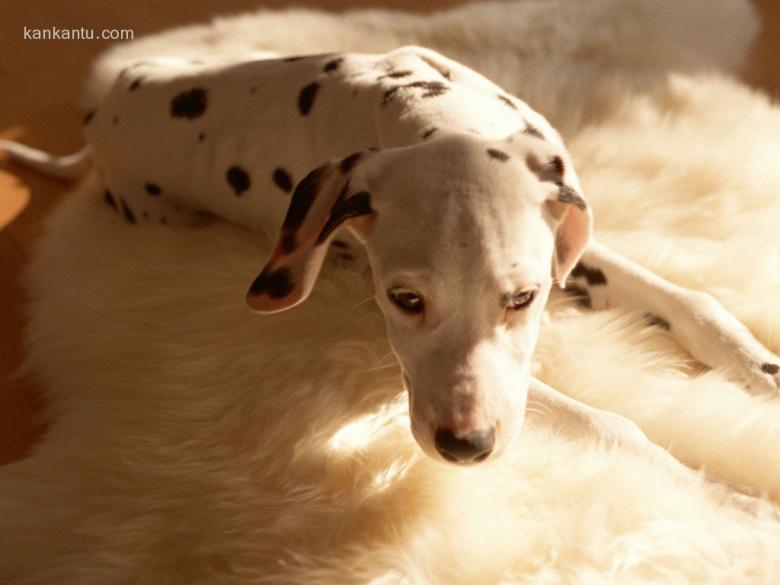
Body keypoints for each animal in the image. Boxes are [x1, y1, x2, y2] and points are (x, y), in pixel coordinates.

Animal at [3, 45, 776, 466]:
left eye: (522, 298)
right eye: (406, 300)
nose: (464, 445)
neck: (433, 111)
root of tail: (99, 116)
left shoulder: (566, 249)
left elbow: (689, 300)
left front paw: (758, 366)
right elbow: (612, 424)